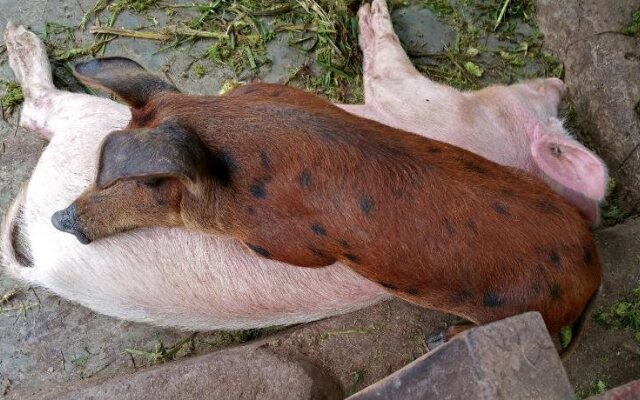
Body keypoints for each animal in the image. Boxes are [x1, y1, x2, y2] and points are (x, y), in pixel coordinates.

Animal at [2, 0, 608, 332]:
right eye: (554, 112)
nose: (559, 82)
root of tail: (46, 266)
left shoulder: (411, 97)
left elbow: (388, 65)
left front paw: (369, 11)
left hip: (83, 121)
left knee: (40, 110)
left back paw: (19, 38)